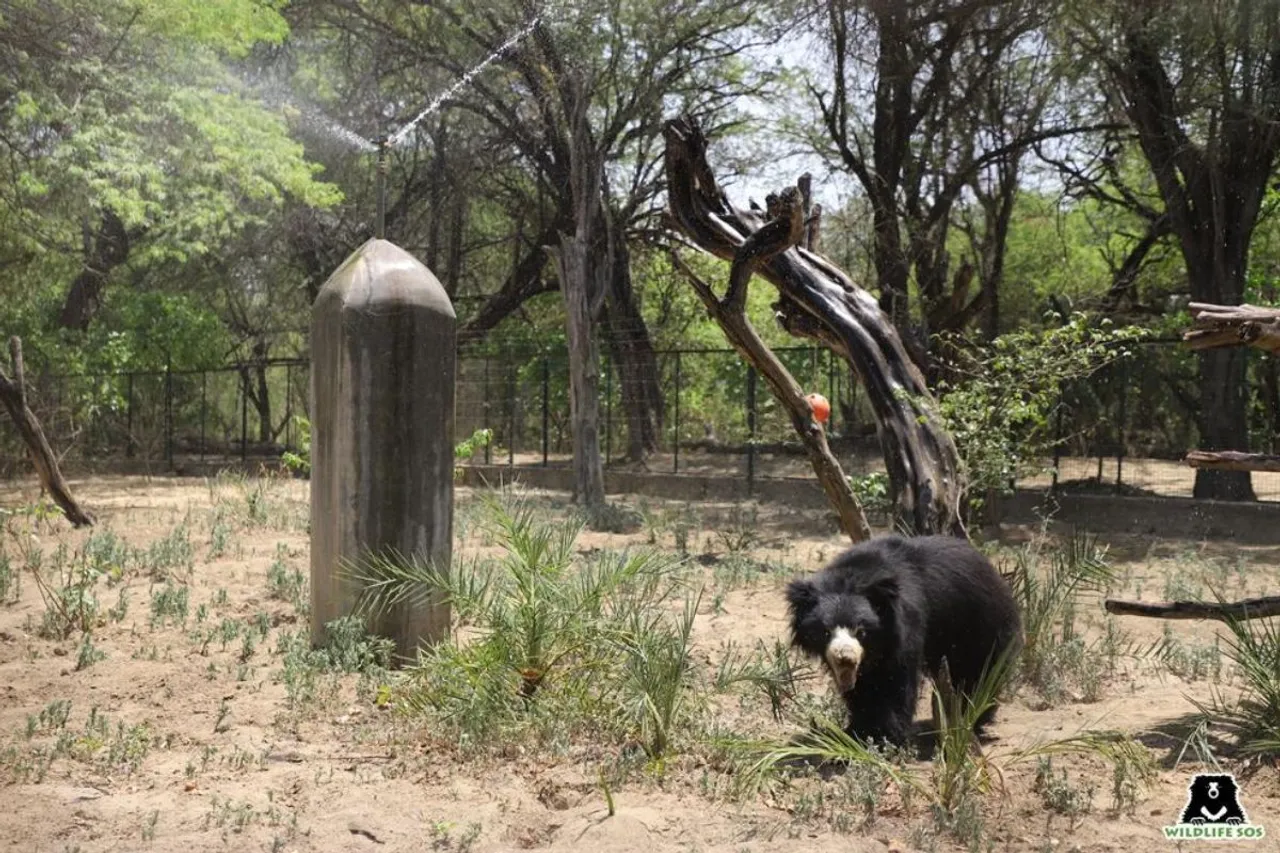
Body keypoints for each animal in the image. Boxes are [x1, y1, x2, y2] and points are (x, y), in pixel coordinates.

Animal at [783, 535, 1024, 747]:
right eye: (825, 632)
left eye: (860, 631)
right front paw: (857, 732)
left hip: (980, 624)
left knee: (977, 671)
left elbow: (893, 682)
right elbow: (863, 688)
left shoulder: (904, 628)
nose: (846, 659)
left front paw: (885, 738)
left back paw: (971, 717)